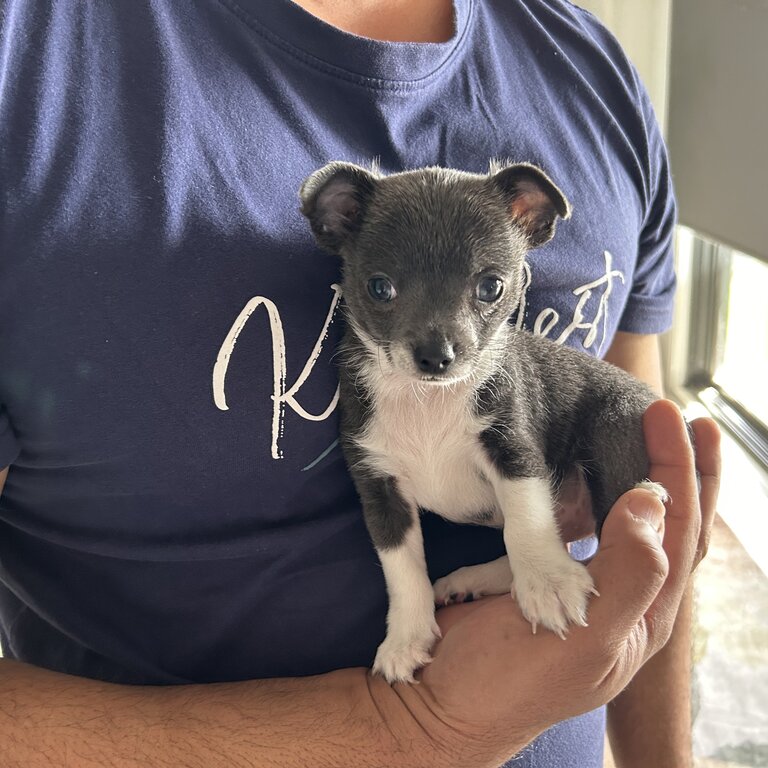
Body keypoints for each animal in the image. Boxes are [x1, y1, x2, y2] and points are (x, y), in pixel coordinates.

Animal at [300, 162, 664, 684]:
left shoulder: (513, 450)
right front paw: (406, 638)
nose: (436, 356)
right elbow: (401, 568)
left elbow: (525, 521)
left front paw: (548, 582)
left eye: (490, 286)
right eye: (379, 288)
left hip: (613, 433)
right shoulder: (379, 488)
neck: (428, 400)